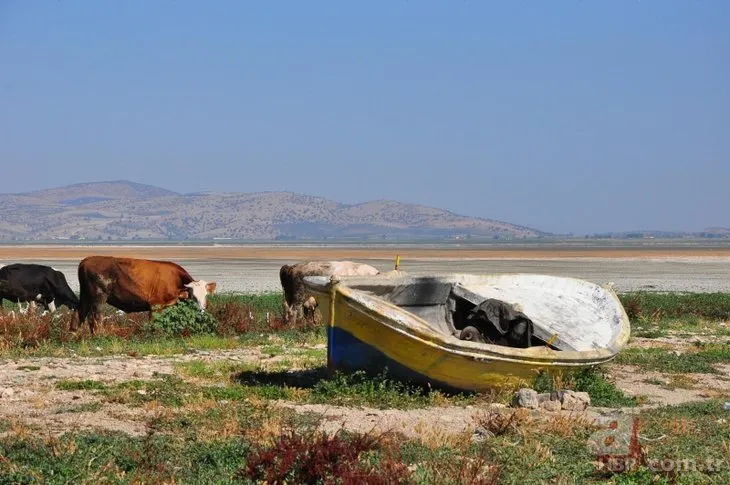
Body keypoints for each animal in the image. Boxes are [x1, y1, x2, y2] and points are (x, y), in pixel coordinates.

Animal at [79, 253, 218, 332]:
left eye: (206, 296)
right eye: (193, 296)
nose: (201, 310)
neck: (175, 279)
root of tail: (85, 261)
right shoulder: (155, 305)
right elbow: (154, 324)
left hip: (85, 297)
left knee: (80, 315)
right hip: (99, 298)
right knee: (95, 318)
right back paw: (99, 335)